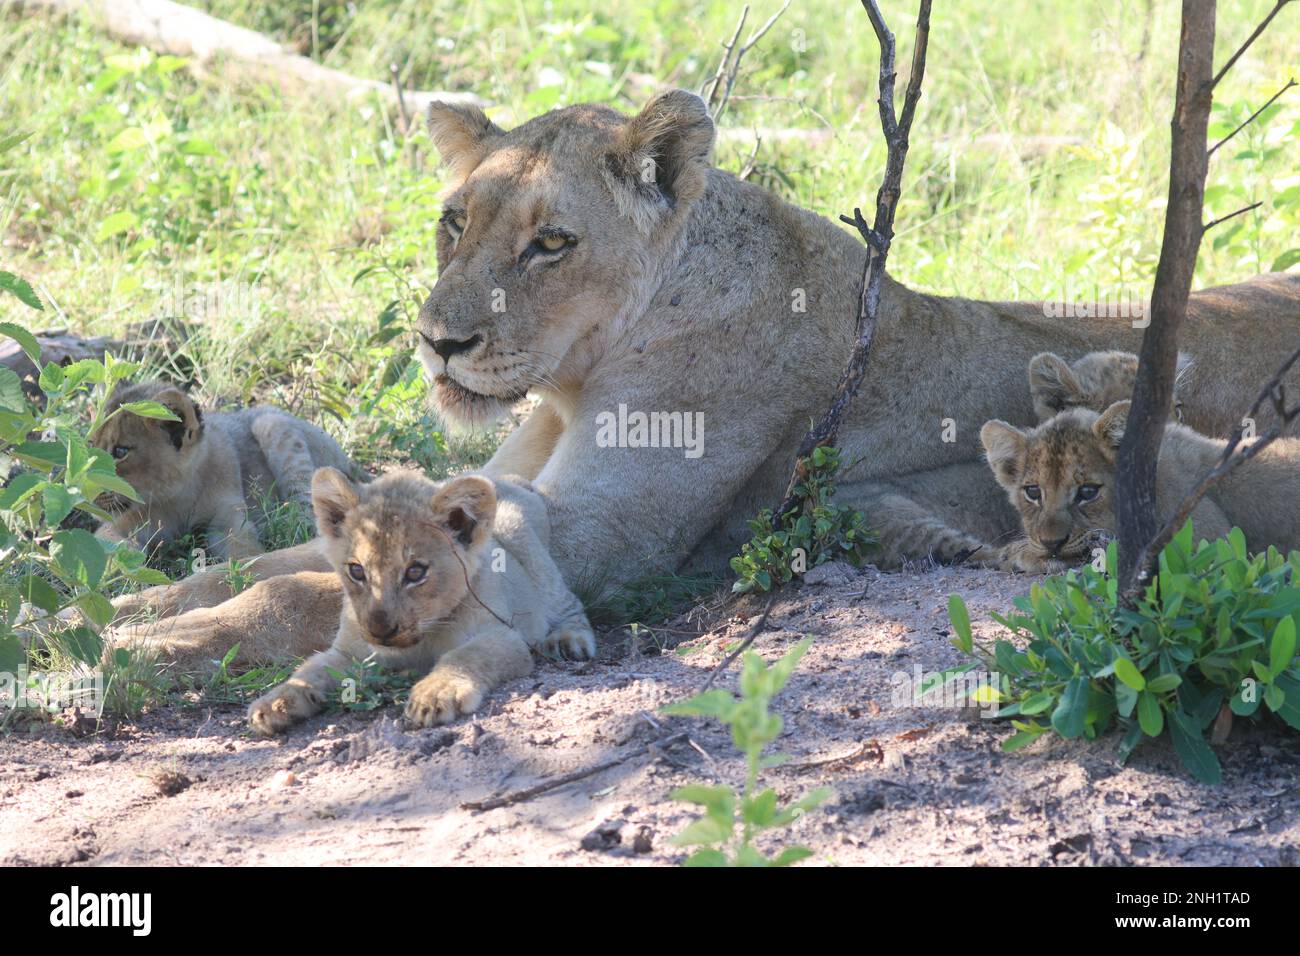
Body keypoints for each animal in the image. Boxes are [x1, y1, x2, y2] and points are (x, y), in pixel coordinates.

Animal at [90, 380, 359, 560]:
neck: (177, 496)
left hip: (271, 423)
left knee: (306, 513)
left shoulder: (229, 517)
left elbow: (243, 548)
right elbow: (110, 544)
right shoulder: (121, 523)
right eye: (92, 443)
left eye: (120, 451)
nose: (84, 490)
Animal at [246, 468, 594, 733]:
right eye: (357, 571)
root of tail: (508, 478)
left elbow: (464, 656)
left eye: (415, 572)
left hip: (527, 548)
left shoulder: (504, 635)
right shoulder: (349, 652)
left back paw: (569, 641)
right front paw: (275, 702)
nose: (380, 630)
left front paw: (435, 694)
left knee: (568, 603)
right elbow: (311, 670)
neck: (421, 639)